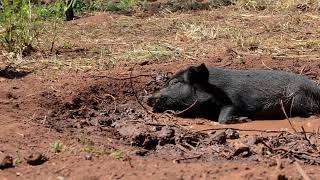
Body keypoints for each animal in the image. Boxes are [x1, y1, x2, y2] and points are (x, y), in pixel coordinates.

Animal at [148, 63, 320, 124]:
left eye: (174, 83)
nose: (149, 98)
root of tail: (315, 87)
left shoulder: (232, 102)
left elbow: (224, 116)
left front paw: (245, 119)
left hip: (299, 97)